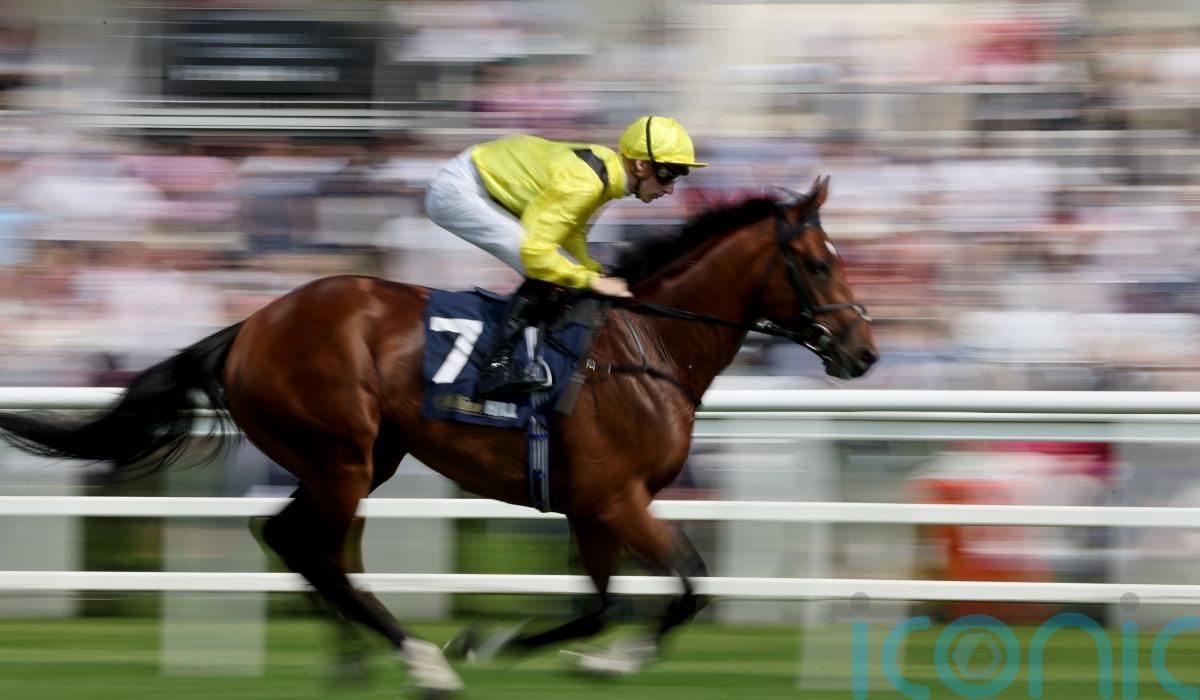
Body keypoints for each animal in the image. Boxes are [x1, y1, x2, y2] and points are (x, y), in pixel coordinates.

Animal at [0, 175, 876, 694]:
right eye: (820, 264)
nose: (863, 351)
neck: (649, 347)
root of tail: (251, 325)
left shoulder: (593, 505)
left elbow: (601, 604)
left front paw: (516, 643)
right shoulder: (618, 498)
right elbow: (689, 583)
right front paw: (577, 655)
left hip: (357, 458)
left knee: (298, 542)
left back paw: (361, 657)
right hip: (340, 455)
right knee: (313, 547)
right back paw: (413, 658)